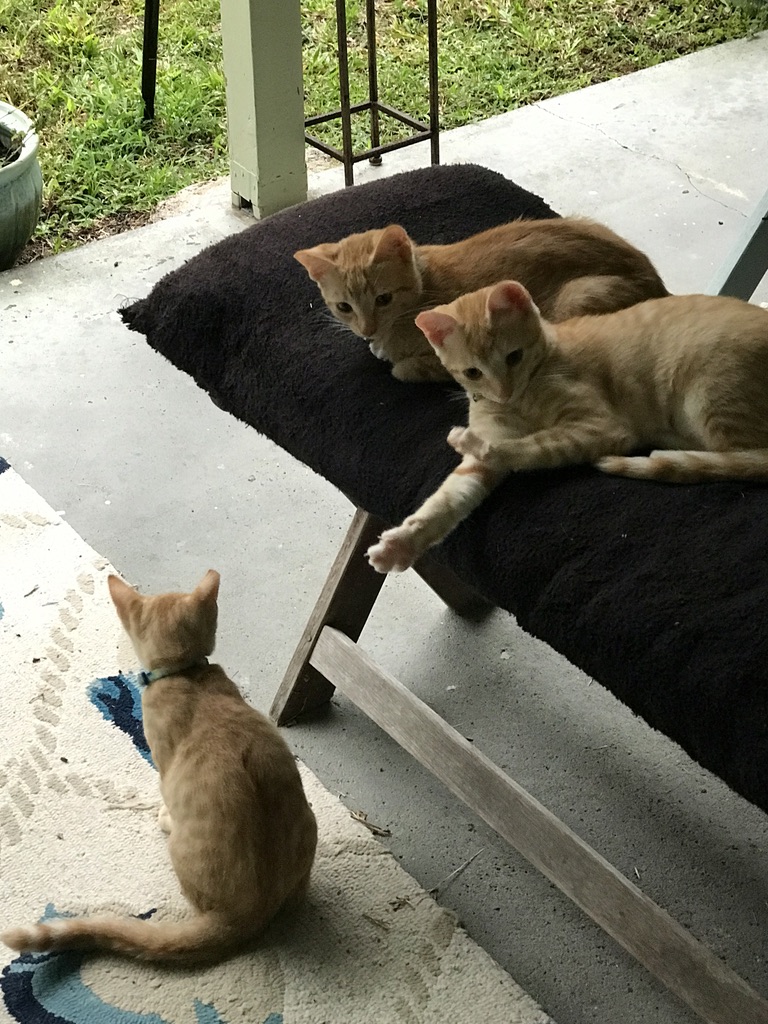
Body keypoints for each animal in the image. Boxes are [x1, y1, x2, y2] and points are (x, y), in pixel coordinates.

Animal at [294, 220, 667, 385]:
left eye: (383, 299)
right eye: (344, 307)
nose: (367, 329)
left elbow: (405, 368)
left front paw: (394, 359)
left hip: (578, 297)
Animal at [364, 280, 768, 577]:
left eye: (514, 357)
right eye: (472, 372)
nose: (504, 391)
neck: (524, 397)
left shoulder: (601, 427)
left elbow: (536, 445)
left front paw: (473, 441)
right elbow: (449, 498)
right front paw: (402, 543)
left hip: (711, 396)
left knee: (748, 459)